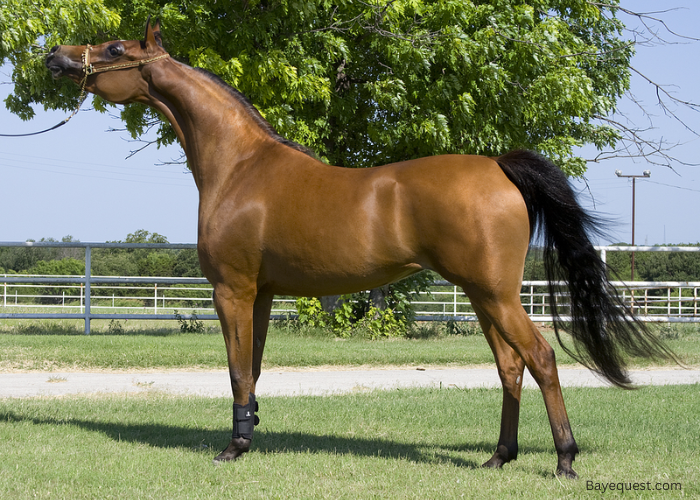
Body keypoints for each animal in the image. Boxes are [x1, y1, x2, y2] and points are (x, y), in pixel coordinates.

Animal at [45, 19, 674, 478]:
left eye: (115, 46)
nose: (54, 56)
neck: (240, 167)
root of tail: (499, 166)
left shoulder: (233, 290)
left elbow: (237, 369)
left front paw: (232, 448)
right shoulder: (262, 294)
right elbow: (253, 368)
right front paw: (248, 436)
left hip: (496, 294)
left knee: (540, 359)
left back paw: (565, 460)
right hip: (481, 295)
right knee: (510, 366)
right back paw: (498, 457)